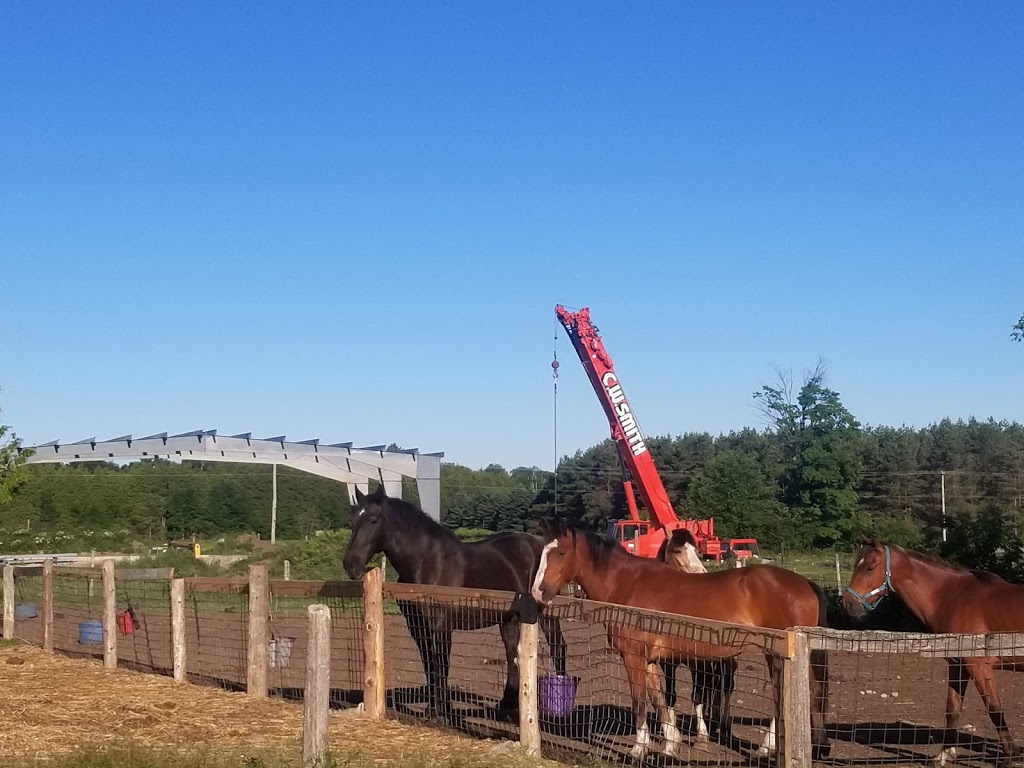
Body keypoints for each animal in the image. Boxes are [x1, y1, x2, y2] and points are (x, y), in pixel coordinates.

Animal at [342, 487, 569, 720]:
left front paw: (442, 711)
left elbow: (441, 663)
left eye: (374, 520)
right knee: (512, 654)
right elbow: (429, 665)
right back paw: (506, 705)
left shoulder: (441, 625)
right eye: (353, 519)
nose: (350, 565)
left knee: (558, 648)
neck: (428, 564)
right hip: (508, 619)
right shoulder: (417, 627)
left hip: (546, 615)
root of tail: (539, 546)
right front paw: (433, 709)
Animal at [528, 520, 831, 761]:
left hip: (777, 654)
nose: (538, 592)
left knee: (799, 694)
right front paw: (669, 746)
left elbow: (639, 701)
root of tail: (805, 583)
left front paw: (639, 749)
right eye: (542, 553)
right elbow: (660, 700)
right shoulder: (651, 660)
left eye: (561, 553)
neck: (627, 585)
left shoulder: (634, 657)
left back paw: (769, 748)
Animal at [843, 536, 1024, 765]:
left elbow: (994, 708)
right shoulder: (958, 667)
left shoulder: (979, 666)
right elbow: (952, 709)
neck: (953, 597)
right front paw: (944, 754)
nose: (848, 603)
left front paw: (1010, 756)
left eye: (870, 567)